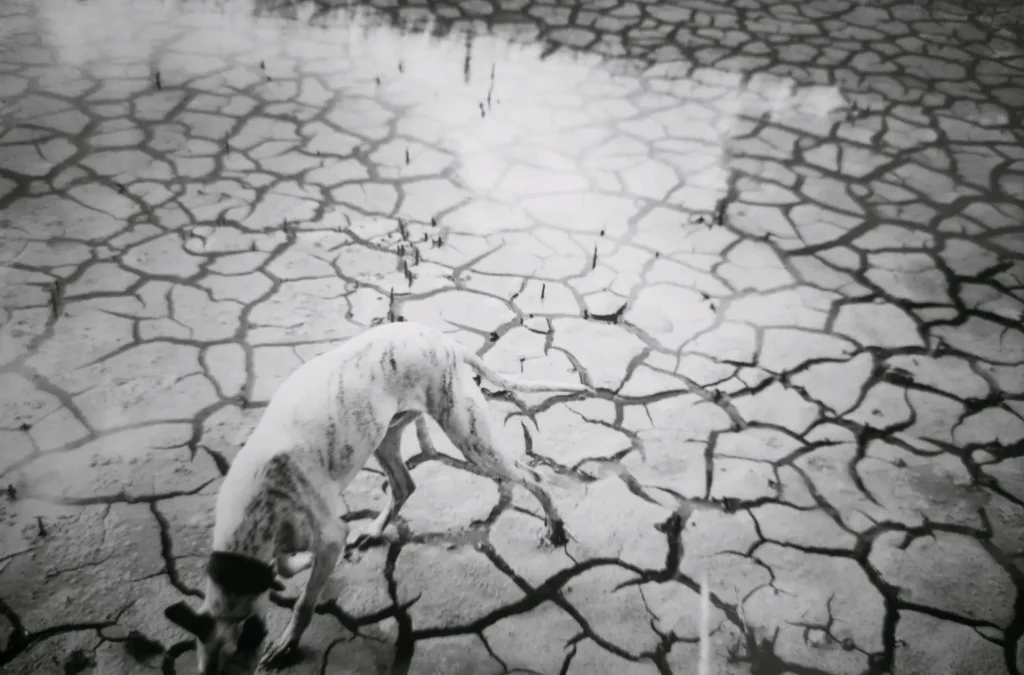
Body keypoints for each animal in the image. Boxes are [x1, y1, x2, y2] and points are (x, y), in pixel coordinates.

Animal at [160, 321, 593, 671]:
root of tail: (443, 339)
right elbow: (285, 565)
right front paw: (293, 568)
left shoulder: (329, 536)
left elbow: (304, 603)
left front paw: (288, 643)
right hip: (386, 436)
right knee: (404, 485)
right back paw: (374, 529)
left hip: (470, 438)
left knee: (532, 474)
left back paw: (555, 529)